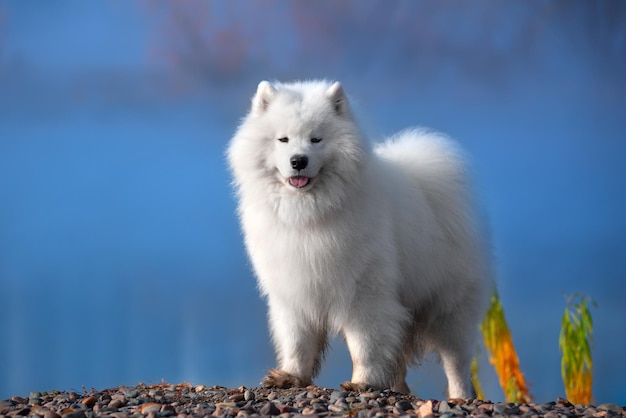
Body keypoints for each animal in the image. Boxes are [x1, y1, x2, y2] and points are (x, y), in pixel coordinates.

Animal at [227, 79, 490, 398]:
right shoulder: (294, 293)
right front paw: (291, 376)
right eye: (283, 140)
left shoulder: (364, 296)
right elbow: (297, 342)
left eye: (316, 139)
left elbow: (365, 344)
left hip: (449, 310)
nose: (298, 161)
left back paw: (460, 397)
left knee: (456, 362)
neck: (309, 216)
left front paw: (363, 381)